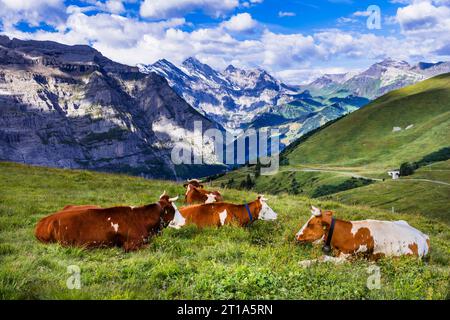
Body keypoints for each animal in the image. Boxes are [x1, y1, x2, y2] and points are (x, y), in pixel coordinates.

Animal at [296, 205, 428, 264]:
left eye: (310, 224)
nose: (296, 235)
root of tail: (423, 235)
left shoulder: (348, 258)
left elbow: (322, 257)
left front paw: (303, 263)